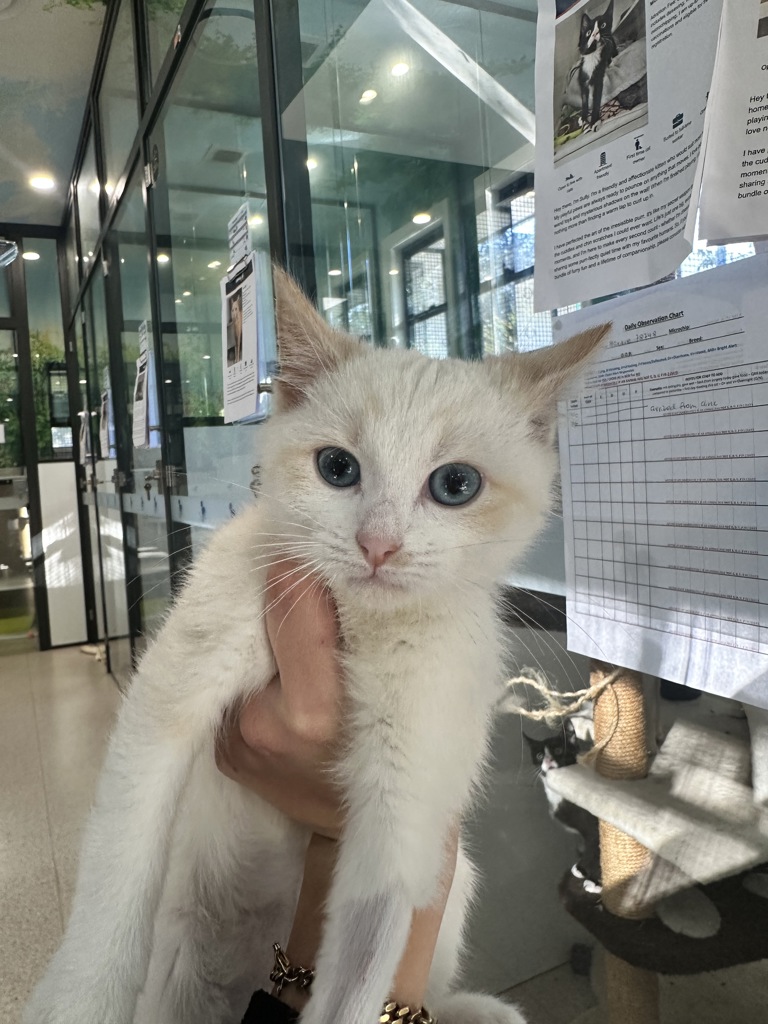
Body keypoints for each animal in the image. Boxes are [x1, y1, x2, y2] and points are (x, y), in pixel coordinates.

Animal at [525, 720, 602, 894]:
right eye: (539, 756)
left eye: (559, 750)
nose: (547, 761)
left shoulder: (593, 826)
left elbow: (595, 847)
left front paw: (589, 877)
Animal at [577, 0, 617, 131]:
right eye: (589, 32)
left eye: (603, 25)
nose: (595, 33)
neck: (592, 57)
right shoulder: (583, 77)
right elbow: (584, 99)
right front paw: (584, 118)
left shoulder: (598, 79)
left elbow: (596, 100)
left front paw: (594, 121)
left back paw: (611, 62)